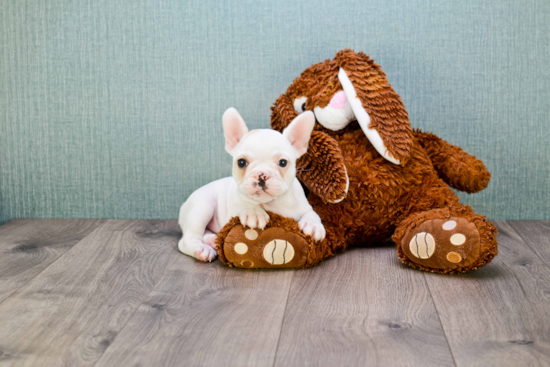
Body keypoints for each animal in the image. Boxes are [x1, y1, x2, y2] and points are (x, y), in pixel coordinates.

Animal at [179, 108, 326, 264]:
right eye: (241, 162)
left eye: (283, 162)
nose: (262, 175)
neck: (272, 203)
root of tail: (183, 206)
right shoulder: (232, 211)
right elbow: (245, 204)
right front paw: (254, 213)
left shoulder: (304, 206)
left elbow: (312, 213)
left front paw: (313, 225)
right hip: (202, 207)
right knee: (187, 240)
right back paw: (202, 249)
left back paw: (212, 240)